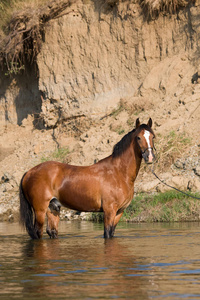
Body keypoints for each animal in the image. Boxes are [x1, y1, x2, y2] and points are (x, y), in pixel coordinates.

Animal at [19, 118, 155, 239]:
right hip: (40, 210)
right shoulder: (109, 211)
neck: (118, 172)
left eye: (153, 136)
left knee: (52, 231)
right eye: (138, 137)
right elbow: (107, 234)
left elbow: (111, 233)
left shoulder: (119, 212)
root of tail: (29, 172)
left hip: (52, 208)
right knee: (37, 233)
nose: (150, 157)